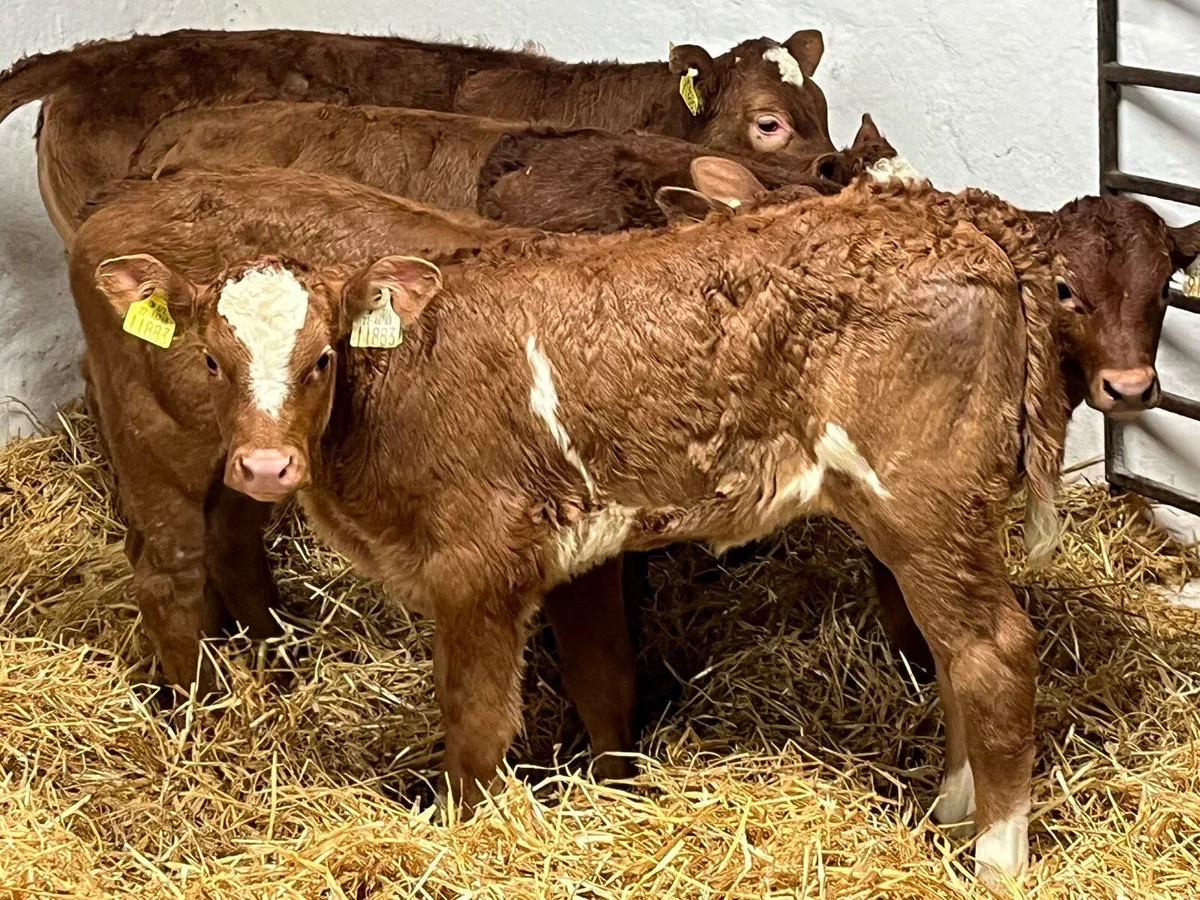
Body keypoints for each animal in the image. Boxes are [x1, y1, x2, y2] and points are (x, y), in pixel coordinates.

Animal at [73, 165, 1200, 884]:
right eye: (211, 358)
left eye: (320, 360)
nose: (267, 462)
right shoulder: (569, 546)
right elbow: (602, 675)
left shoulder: (473, 564)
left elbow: (474, 727)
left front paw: (468, 839)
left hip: (921, 501)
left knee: (993, 651)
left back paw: (995, 858)